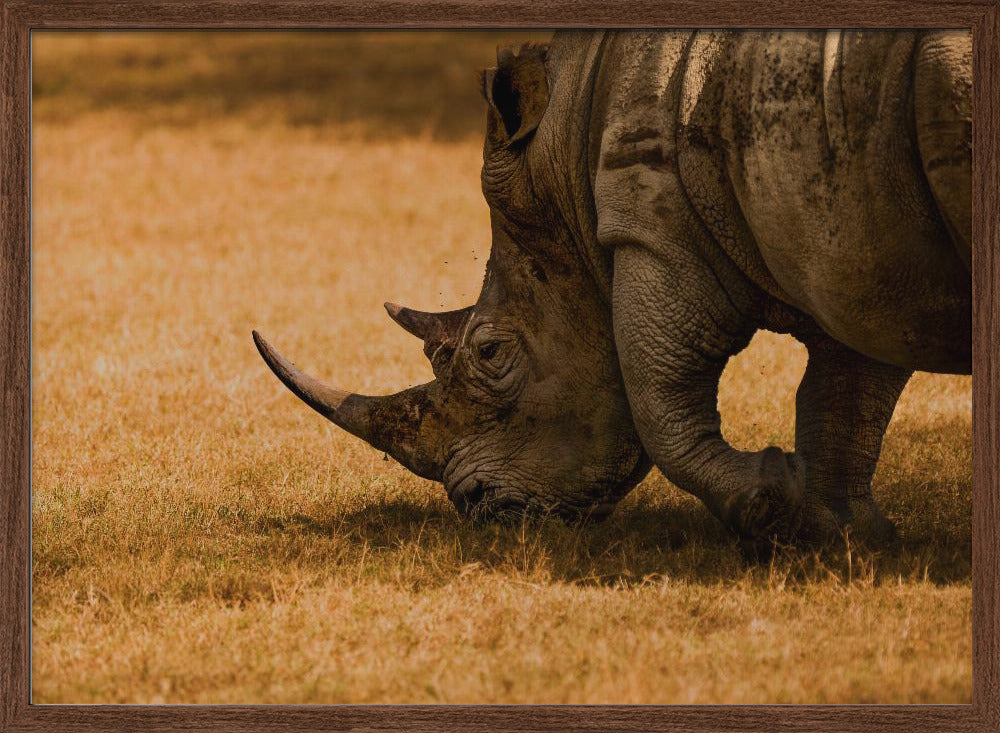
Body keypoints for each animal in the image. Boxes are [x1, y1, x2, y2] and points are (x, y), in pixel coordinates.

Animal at [254, 30, 971, 552]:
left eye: (489, 353)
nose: (478, 507)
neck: (564, 148)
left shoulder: (652, 227)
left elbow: (658, 393)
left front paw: (774, 507)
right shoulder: (852, 240)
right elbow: (848, 390)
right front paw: (840, 534)